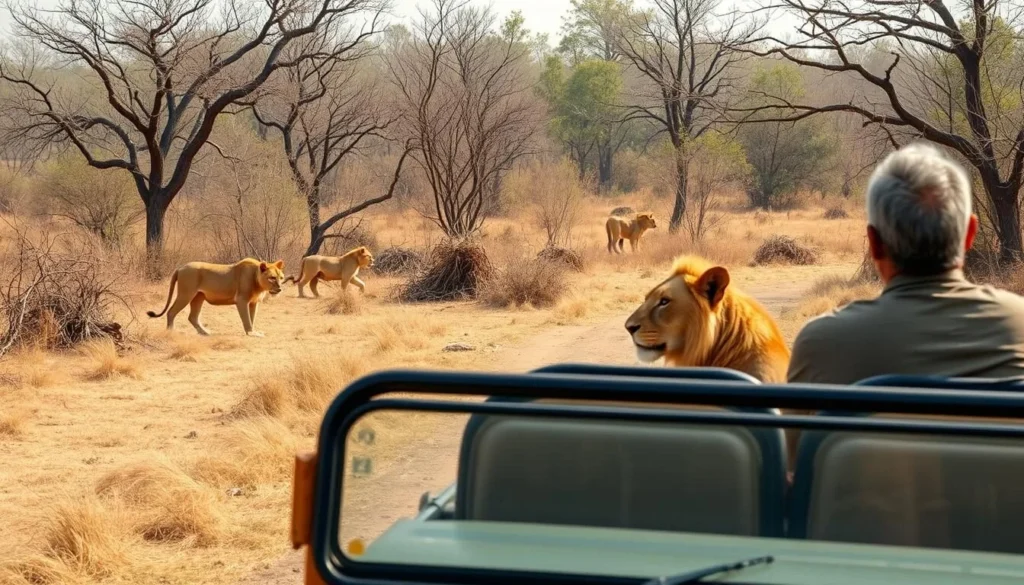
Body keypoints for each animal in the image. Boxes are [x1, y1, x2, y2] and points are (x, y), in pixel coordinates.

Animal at [147, 258, 285, 337]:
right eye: (272, 278)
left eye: (281, 277)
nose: (279, 289)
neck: (257, 280)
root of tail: (180, 268)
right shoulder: (242, 300)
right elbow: (247, 319)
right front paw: (252, 333)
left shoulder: (253, 302)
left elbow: (252, 318)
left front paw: (253, 331)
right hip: (186, 294)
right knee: (171, 312)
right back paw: (170, 332)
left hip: (198, 297)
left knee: (192, 317)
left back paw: (205, 332)